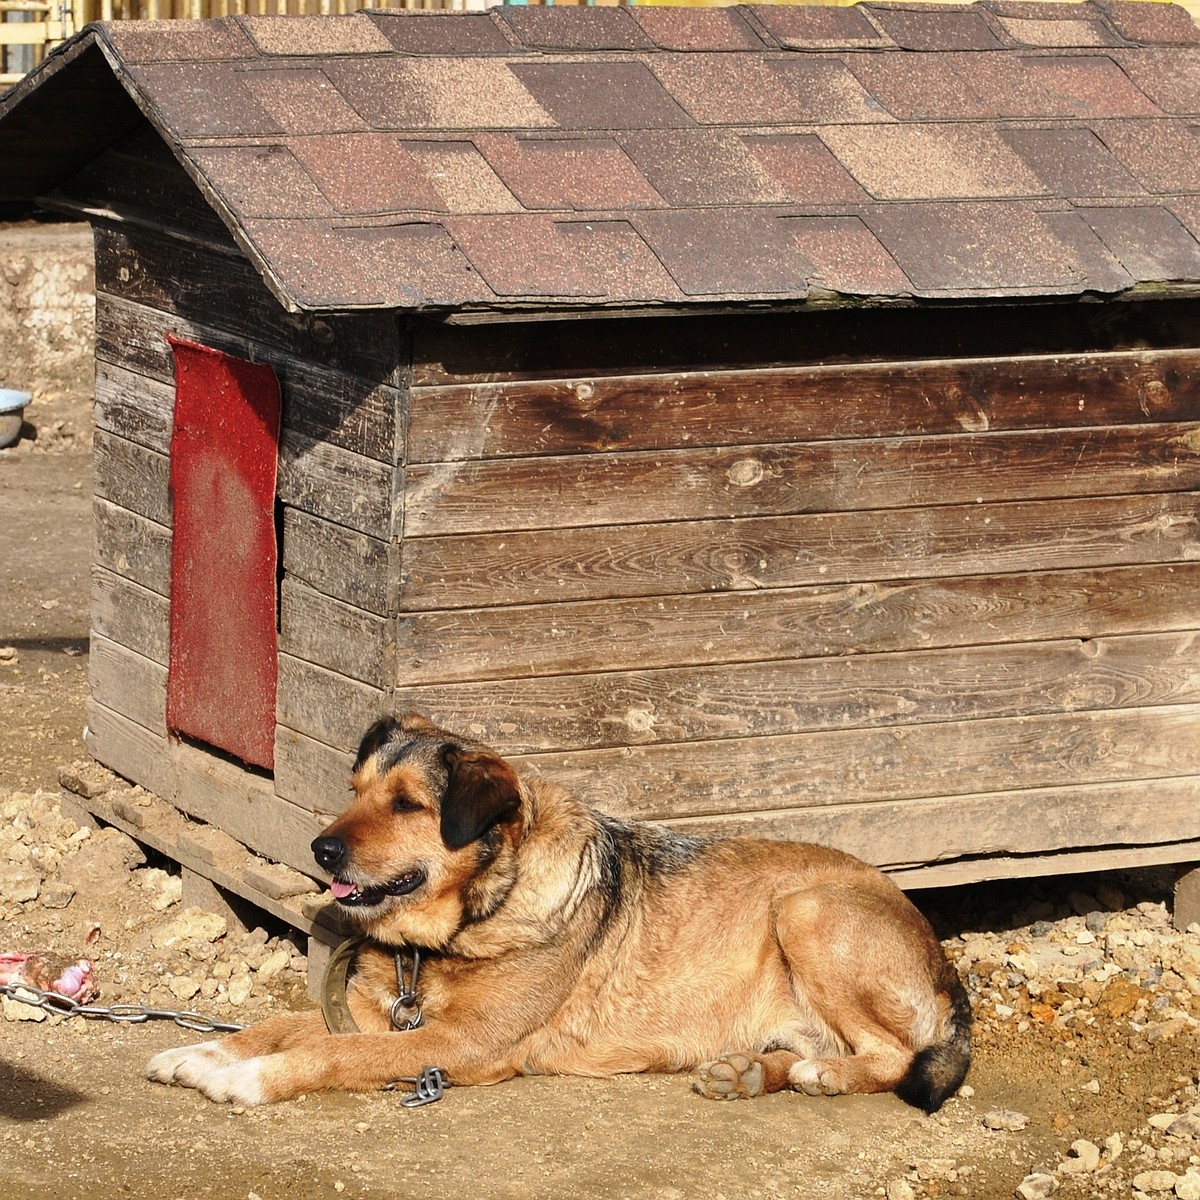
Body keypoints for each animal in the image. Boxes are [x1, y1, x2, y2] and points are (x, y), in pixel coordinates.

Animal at [147, 705, 974, 1108]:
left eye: (408, 804)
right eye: (354, 792)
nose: (319, 849)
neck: (466, 926)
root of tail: (940, 961)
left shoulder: (461, 1043)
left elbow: (327, 1052)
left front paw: (245, 1080)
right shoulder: (370, 1013)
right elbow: (275, 1027)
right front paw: (201, 1053)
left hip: (806, 909)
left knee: (893, 1056)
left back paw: (822, 1079)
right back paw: (749, 1073)